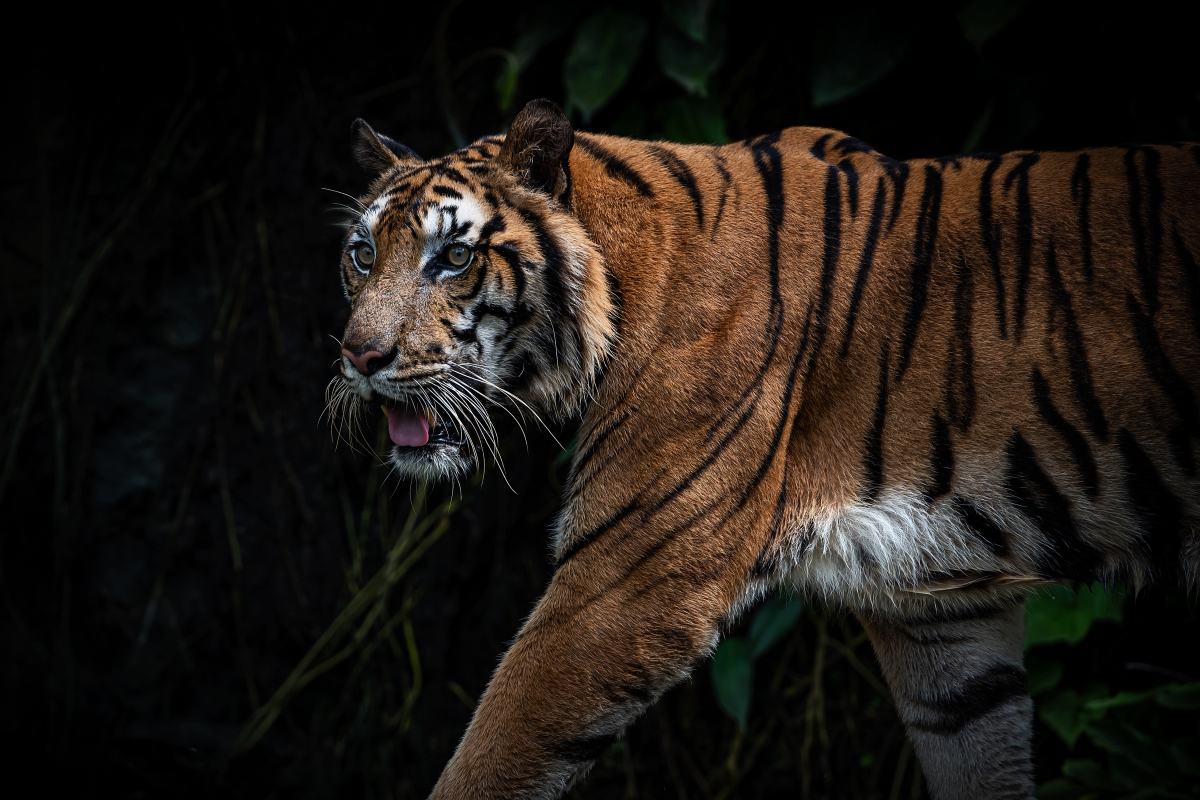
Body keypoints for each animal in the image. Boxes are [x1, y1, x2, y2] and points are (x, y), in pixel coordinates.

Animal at [331, 97, 1200, 796]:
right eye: (363, 254)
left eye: (454, 256)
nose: (359, 357)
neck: (624, 282)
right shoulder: (941, 611)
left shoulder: (627, 584)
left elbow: (491, 754)